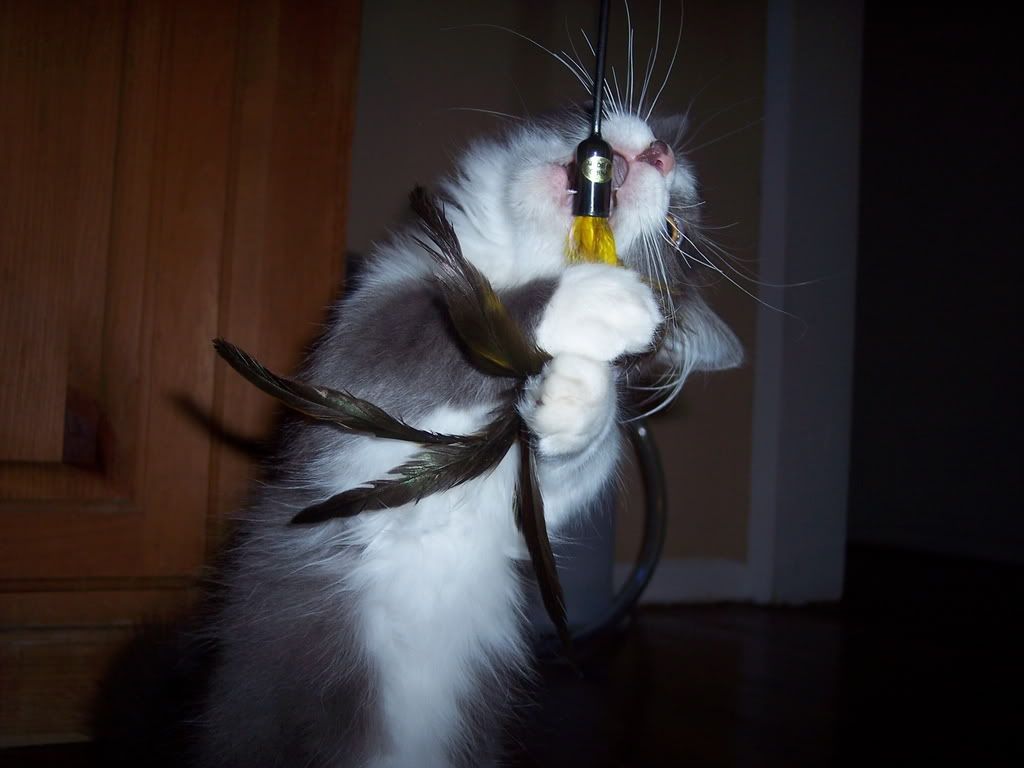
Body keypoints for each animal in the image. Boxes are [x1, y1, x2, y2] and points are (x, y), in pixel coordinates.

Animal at [185, 101, 742, 768]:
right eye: (659, 145)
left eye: (677, 232)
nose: (660, 153)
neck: (507, 261)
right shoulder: (362, 333)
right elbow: (434, 333)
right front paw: (600, 299)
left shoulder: (525, 509)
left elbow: (577, 469)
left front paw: (576, 397)